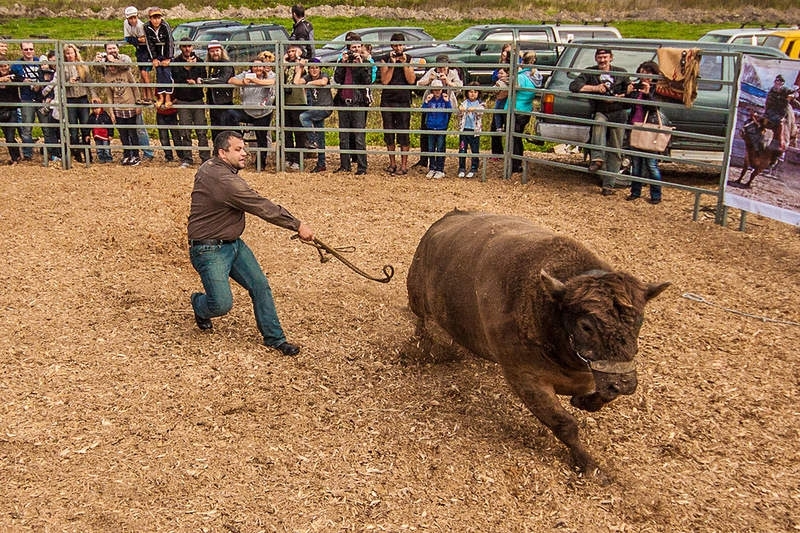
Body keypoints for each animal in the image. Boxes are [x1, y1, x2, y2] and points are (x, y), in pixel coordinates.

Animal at [406, 210, 668, 480]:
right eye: (586, 326)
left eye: (639, 320)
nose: (625, 384)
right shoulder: (526, 378)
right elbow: (565, 424)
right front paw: (589, 464)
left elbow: (599, 396)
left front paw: (584, 402)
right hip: (418, 301)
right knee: (423, 323)